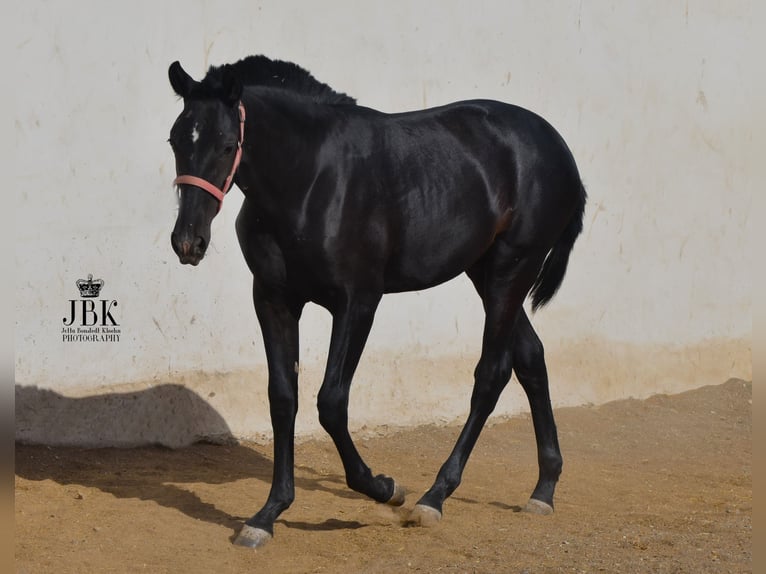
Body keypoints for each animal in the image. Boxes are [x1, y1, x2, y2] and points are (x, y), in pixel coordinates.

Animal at [168, 56, 588, 552]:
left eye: (228, 144)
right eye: (176, 140)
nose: (188, 242)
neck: (311, 180)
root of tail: (557, 147)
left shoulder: (358, 303)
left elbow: (331, 402)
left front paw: (384, 488)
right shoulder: (273, 299)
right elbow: (283, 398)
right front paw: (267, 514)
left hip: (511, 270)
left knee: (492, 374)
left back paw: (433, 497)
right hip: (485, 273)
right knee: (530, 357)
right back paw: (544, 488)